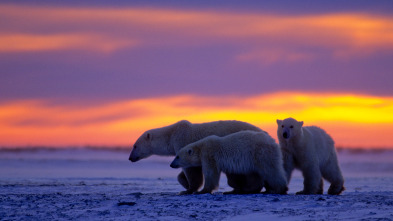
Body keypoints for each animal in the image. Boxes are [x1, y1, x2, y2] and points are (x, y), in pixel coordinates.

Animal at [129, 120, 264, 194]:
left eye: (135, 146)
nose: (130, 158)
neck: (171, 135)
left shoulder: (183, 141)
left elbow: (191, 169)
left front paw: (188, 189)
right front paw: (184, 183)